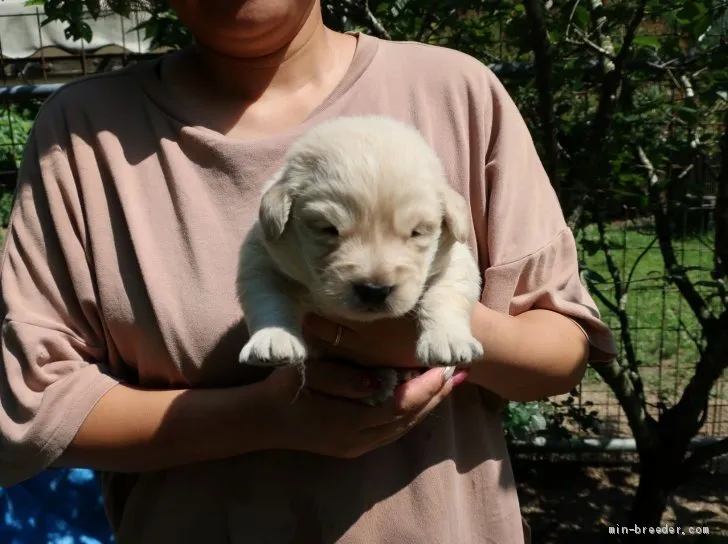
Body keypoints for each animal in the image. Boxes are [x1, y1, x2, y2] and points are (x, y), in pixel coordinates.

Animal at [237, 116, 484, 404]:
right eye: (328, 229)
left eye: (416, 232)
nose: (374, 290)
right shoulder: (262, 255)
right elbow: (268, 297)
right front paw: (273, 337)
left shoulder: (455, 258)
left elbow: (446, 293)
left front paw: (448, 340)